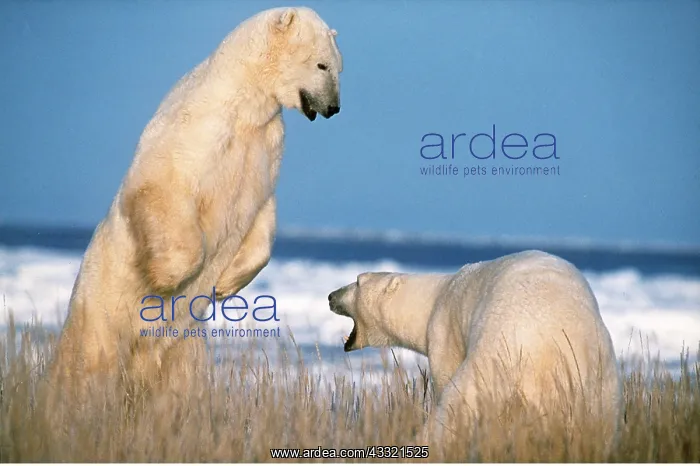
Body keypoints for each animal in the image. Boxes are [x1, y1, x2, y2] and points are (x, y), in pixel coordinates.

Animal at [47, 6, 343, 401]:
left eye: (339, 67)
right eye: (323, 65)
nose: (334, 107)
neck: (246, 101)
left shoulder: (266, 147)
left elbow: (263, 214)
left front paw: (226, 283)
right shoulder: (201, 128)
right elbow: (162, 184)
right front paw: (164, 277)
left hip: (186, 346)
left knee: (180, 388)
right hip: (100, 318)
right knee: (87, 370)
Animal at [328, 250, 622, 454]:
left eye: (357, 281)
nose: (331, 296)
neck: (436, 295)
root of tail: (546, 351)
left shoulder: (445, 328)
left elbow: (444, 377)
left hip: (495, 355)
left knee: (458, 404)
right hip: (597, 381)